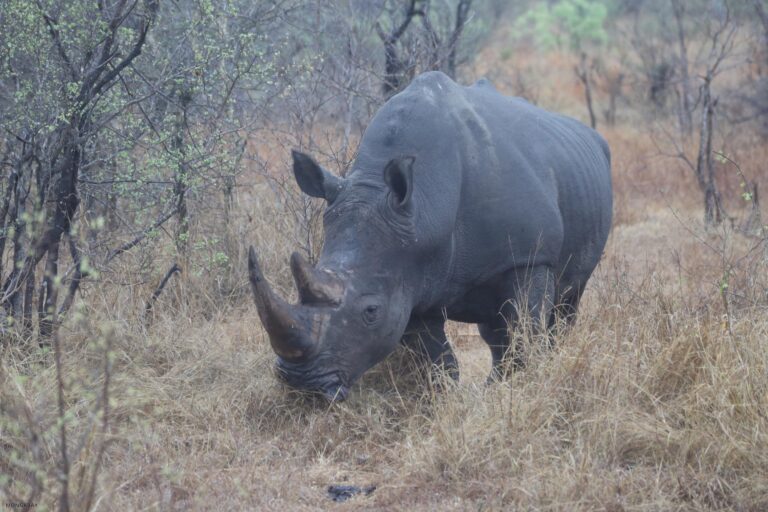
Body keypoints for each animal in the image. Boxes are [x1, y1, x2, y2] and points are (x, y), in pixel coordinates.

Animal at [248, 72, 612, 401]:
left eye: (371, 311)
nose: (301, 384)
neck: (423, 207)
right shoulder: (407, 275)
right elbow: (437, 361)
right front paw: (448, 399)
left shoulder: (529, 258)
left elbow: (525, 333)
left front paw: (515, 390)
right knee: (494, 328)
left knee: (565, 304)